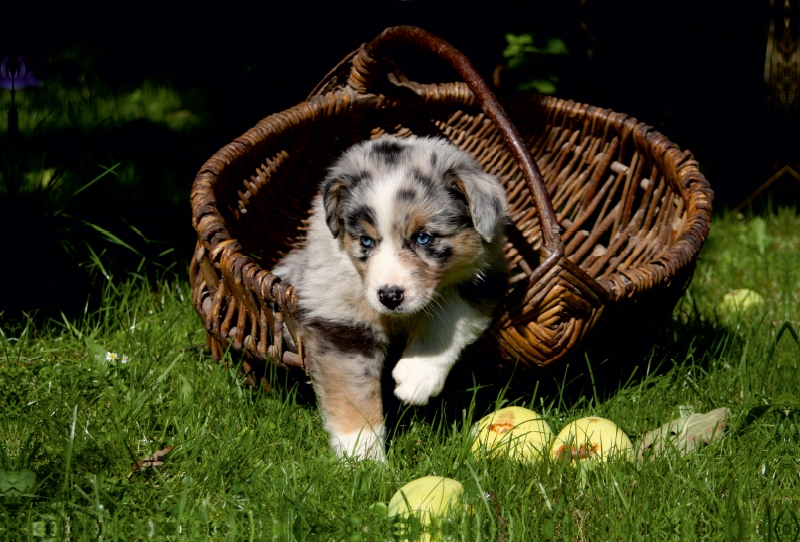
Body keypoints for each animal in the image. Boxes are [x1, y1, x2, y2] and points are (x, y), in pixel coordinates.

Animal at [270, 134, 506, 462]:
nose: (389, 296)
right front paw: (362, 459)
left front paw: (416, 378)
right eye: (366, 241)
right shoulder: (340, 319)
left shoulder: (484, 276)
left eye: (423, 238)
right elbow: (354, 391)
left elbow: (449, 314)